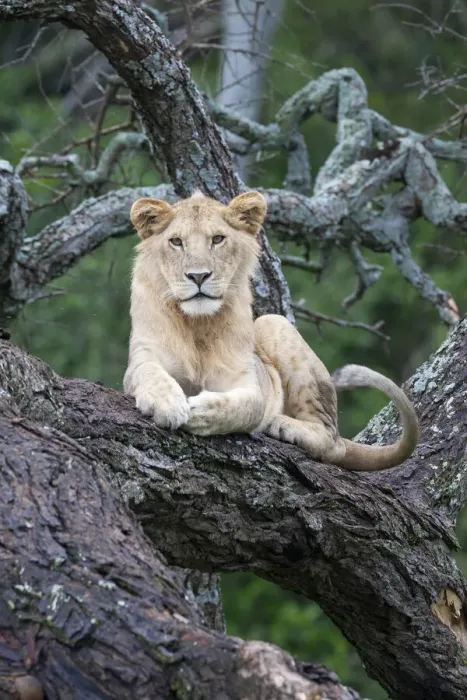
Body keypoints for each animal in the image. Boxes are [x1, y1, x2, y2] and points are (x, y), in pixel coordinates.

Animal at [123, 190, 418, 471]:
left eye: (217, 239)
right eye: (176, 242)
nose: (198, 276)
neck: (198, 323)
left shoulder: (246, 379)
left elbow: (249, 406)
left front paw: (201, 410)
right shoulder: (144, 355)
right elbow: (147, 372)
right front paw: (167, 403)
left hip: (273, 322)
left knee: (333, 443)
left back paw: (281, 424)